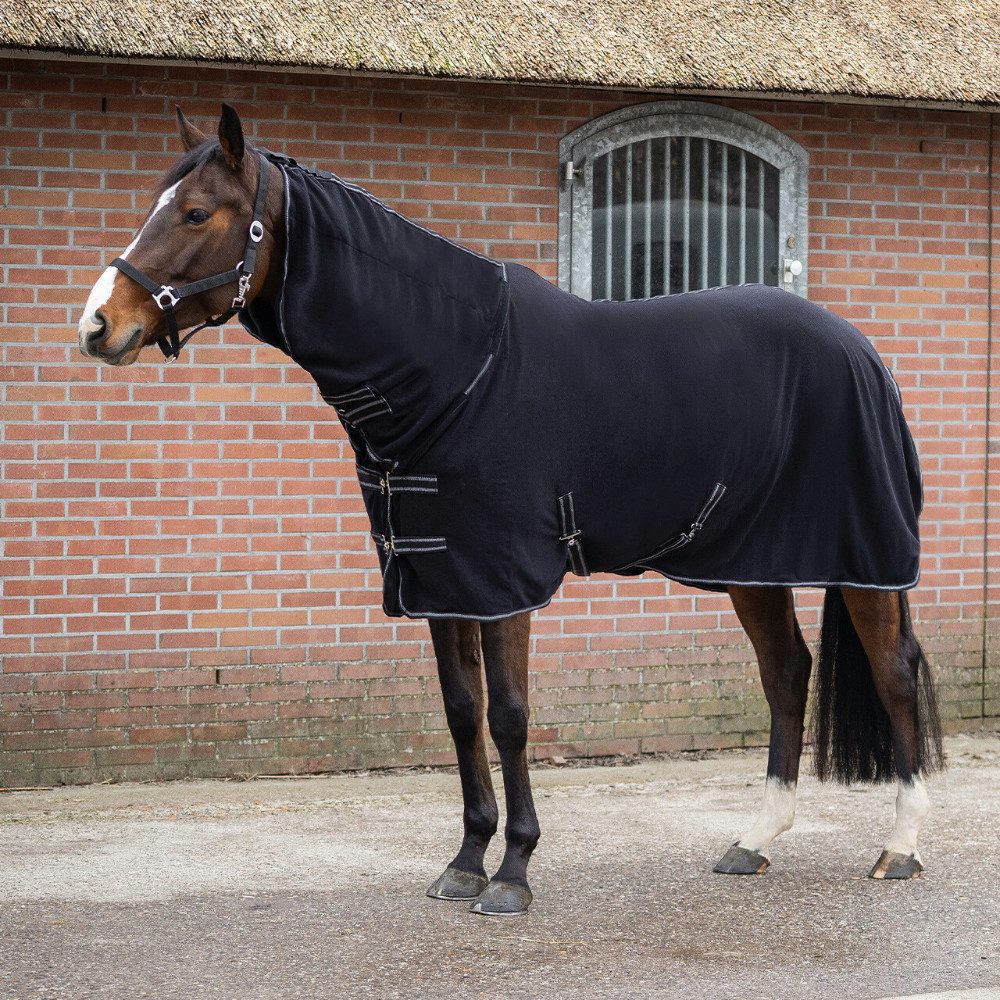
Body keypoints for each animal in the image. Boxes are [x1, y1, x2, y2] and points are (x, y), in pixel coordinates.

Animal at [77, 105, 942, 916]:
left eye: (196, 213)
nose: (97, 325)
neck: (458, 367)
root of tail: (863, 352)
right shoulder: (441, 578)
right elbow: (463, 714)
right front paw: (465, 862)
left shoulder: (502, 582)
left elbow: (512, 717)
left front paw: (514, 873)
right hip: (754, 565)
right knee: (787, 673)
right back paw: (753, 841)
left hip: (864, 562)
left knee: (894, 675)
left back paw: (900, 847)